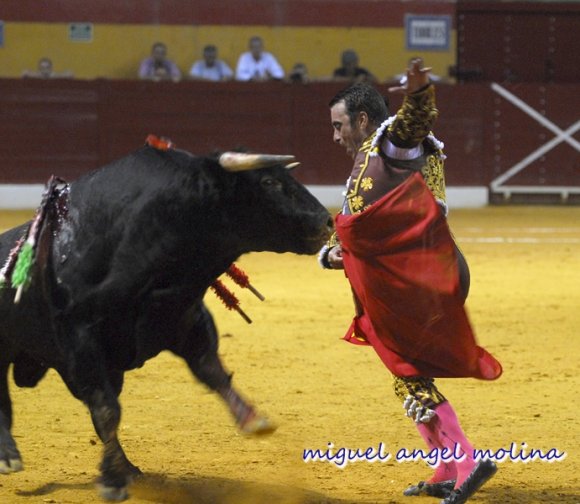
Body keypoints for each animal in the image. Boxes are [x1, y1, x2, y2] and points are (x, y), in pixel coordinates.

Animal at [0, 145, 330, 500]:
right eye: (269, 181)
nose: (326, 220)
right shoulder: (80, 339)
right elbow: (107, 410)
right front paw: (112, 481)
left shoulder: (186, 319)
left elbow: (213, 372)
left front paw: (252, 419)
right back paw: (9, 456)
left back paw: (127, 467)